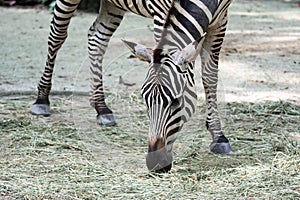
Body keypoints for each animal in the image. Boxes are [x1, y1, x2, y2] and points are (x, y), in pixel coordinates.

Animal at [32, 0, 233, 173]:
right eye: (145, 100)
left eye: (176, 102)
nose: (154, 163)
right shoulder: (162, 12)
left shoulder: (221, 19)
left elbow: (210, 76)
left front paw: (218, 135)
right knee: (57, 35)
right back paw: (42, 99)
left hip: (112, 4)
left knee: (97, 38)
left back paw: (101, 107)